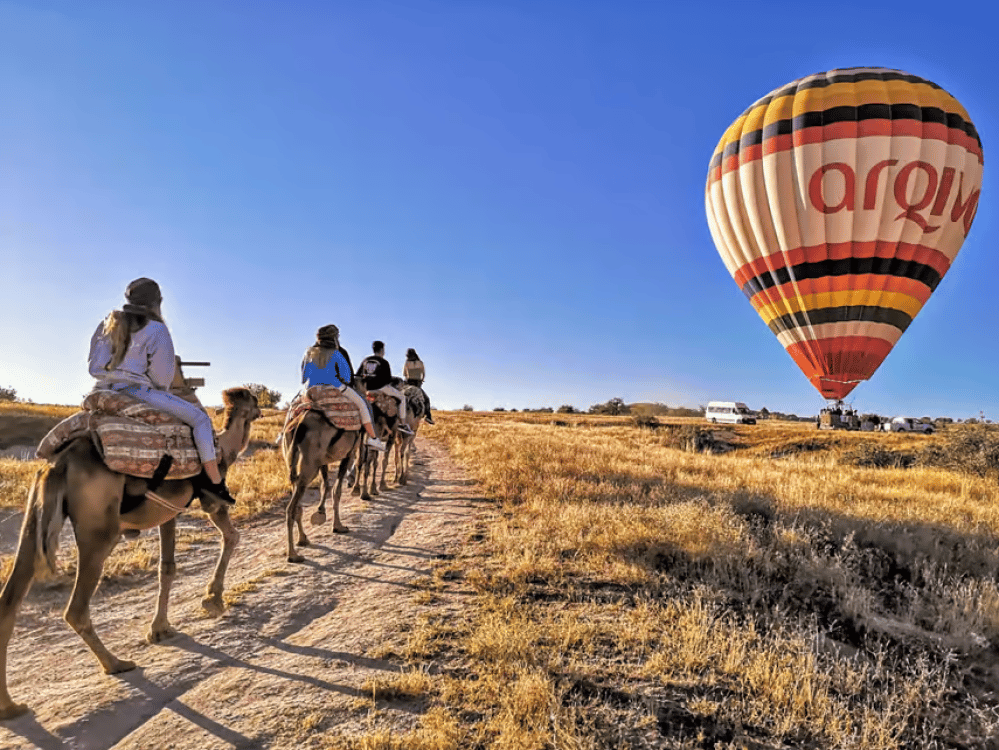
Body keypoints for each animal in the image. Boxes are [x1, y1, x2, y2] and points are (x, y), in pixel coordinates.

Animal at [0, 387, 260, 721]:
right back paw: (116, 664)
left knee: (10, 598)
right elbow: (230, 536)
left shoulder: (168, 512)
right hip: (99, 531)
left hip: (36, 515)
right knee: (76, 608)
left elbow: (167, 568)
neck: (224, 448)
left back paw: (10, 705)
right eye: (254, 402)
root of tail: (60, 464)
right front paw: (212, 599)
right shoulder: (210, 500)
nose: (260, 410)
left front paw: (160, 629)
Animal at [281, 407, 362, 563]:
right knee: (290, 508)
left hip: (294, 462)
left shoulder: (323, 461)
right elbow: (337, 490)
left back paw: (303, 539)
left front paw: (320, 512)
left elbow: (326, 485)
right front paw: (338, 526)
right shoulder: (348, 454)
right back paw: (293, 555)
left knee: (297, 503)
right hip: (310, 466)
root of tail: (299, 423)